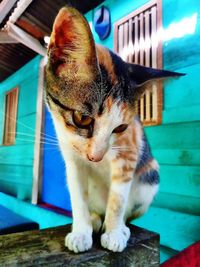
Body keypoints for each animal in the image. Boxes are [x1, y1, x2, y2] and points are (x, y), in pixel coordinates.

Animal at [45, 6, 183, 253]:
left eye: (121, 127)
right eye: (82, 119)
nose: (95, 157)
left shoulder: (129, 151)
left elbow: (118, 200)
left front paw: (115, 233)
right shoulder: (72, 158)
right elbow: (78, 195)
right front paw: (80, 231)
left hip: (150, 176)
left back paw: (121, 227)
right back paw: (94, 219)